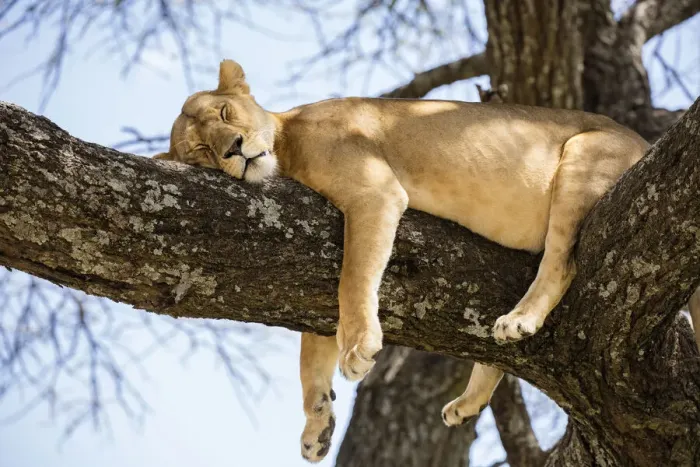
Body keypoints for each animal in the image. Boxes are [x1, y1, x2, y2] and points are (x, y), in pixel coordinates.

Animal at [153, 60, 700, 463]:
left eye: (226, 113)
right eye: (201, 150)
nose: (234, 149)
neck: (287, 141)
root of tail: (643, 141)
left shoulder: (374, 194)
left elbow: (353, 281)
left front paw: (359, 348)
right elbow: (311, 351)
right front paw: (317, 425)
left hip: (584, 153)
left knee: (563, 263)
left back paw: (521, 319)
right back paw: (468, 401)